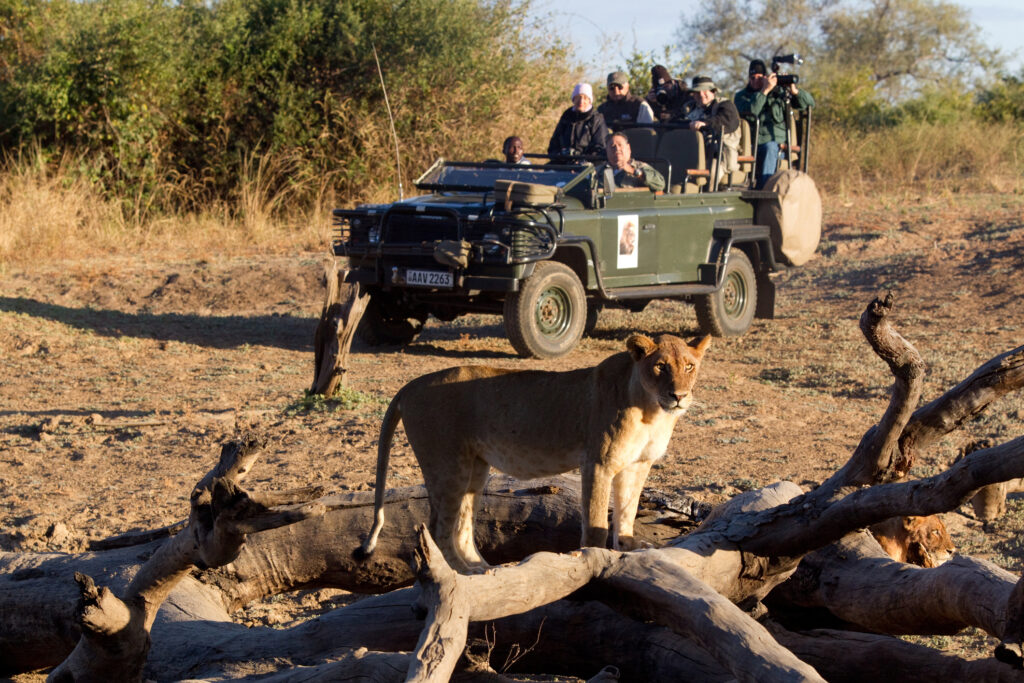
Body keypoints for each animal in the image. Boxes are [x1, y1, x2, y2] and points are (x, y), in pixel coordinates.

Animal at [356, 331, 708, 573]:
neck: (652, 410)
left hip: (475, 467)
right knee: (438, 529)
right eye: (660, 366)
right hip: (446, 464)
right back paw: (462, 573)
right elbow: (596, 519)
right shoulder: (597, 462)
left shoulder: (638, 464)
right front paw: (596, 558)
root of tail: (409, 386)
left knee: (462, 526)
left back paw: (484, 568)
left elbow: (628, 511)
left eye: (689, 366)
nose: (679, 396)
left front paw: (630, 547)